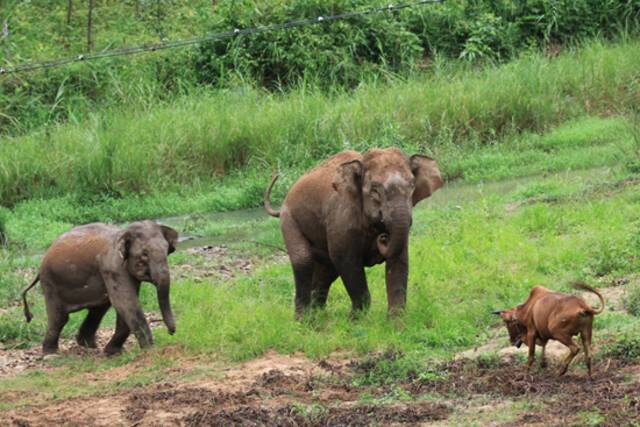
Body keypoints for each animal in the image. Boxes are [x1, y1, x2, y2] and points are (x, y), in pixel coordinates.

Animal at [21, 221, 179, 354]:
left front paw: (113, 352)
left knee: (98, 309)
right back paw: (51, 353)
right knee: (60, 317)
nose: (171, 332)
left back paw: (88, 345)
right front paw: (151, 350)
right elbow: (125, 302)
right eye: (144, 255)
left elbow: (125, 303)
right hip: (50, 281)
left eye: (167, 251)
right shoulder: (112, 267)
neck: (124, 232)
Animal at [262, 148, 442, 318]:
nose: (384, 237)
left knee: (326, 271)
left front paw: (395, 323)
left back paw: (318, 316)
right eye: (375, 190)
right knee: (303, 260)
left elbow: (399, 259)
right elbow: (345, 260)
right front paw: (354, 320)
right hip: (289, 221)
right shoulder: (340, 221)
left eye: (412, 186)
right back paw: (304, 321)